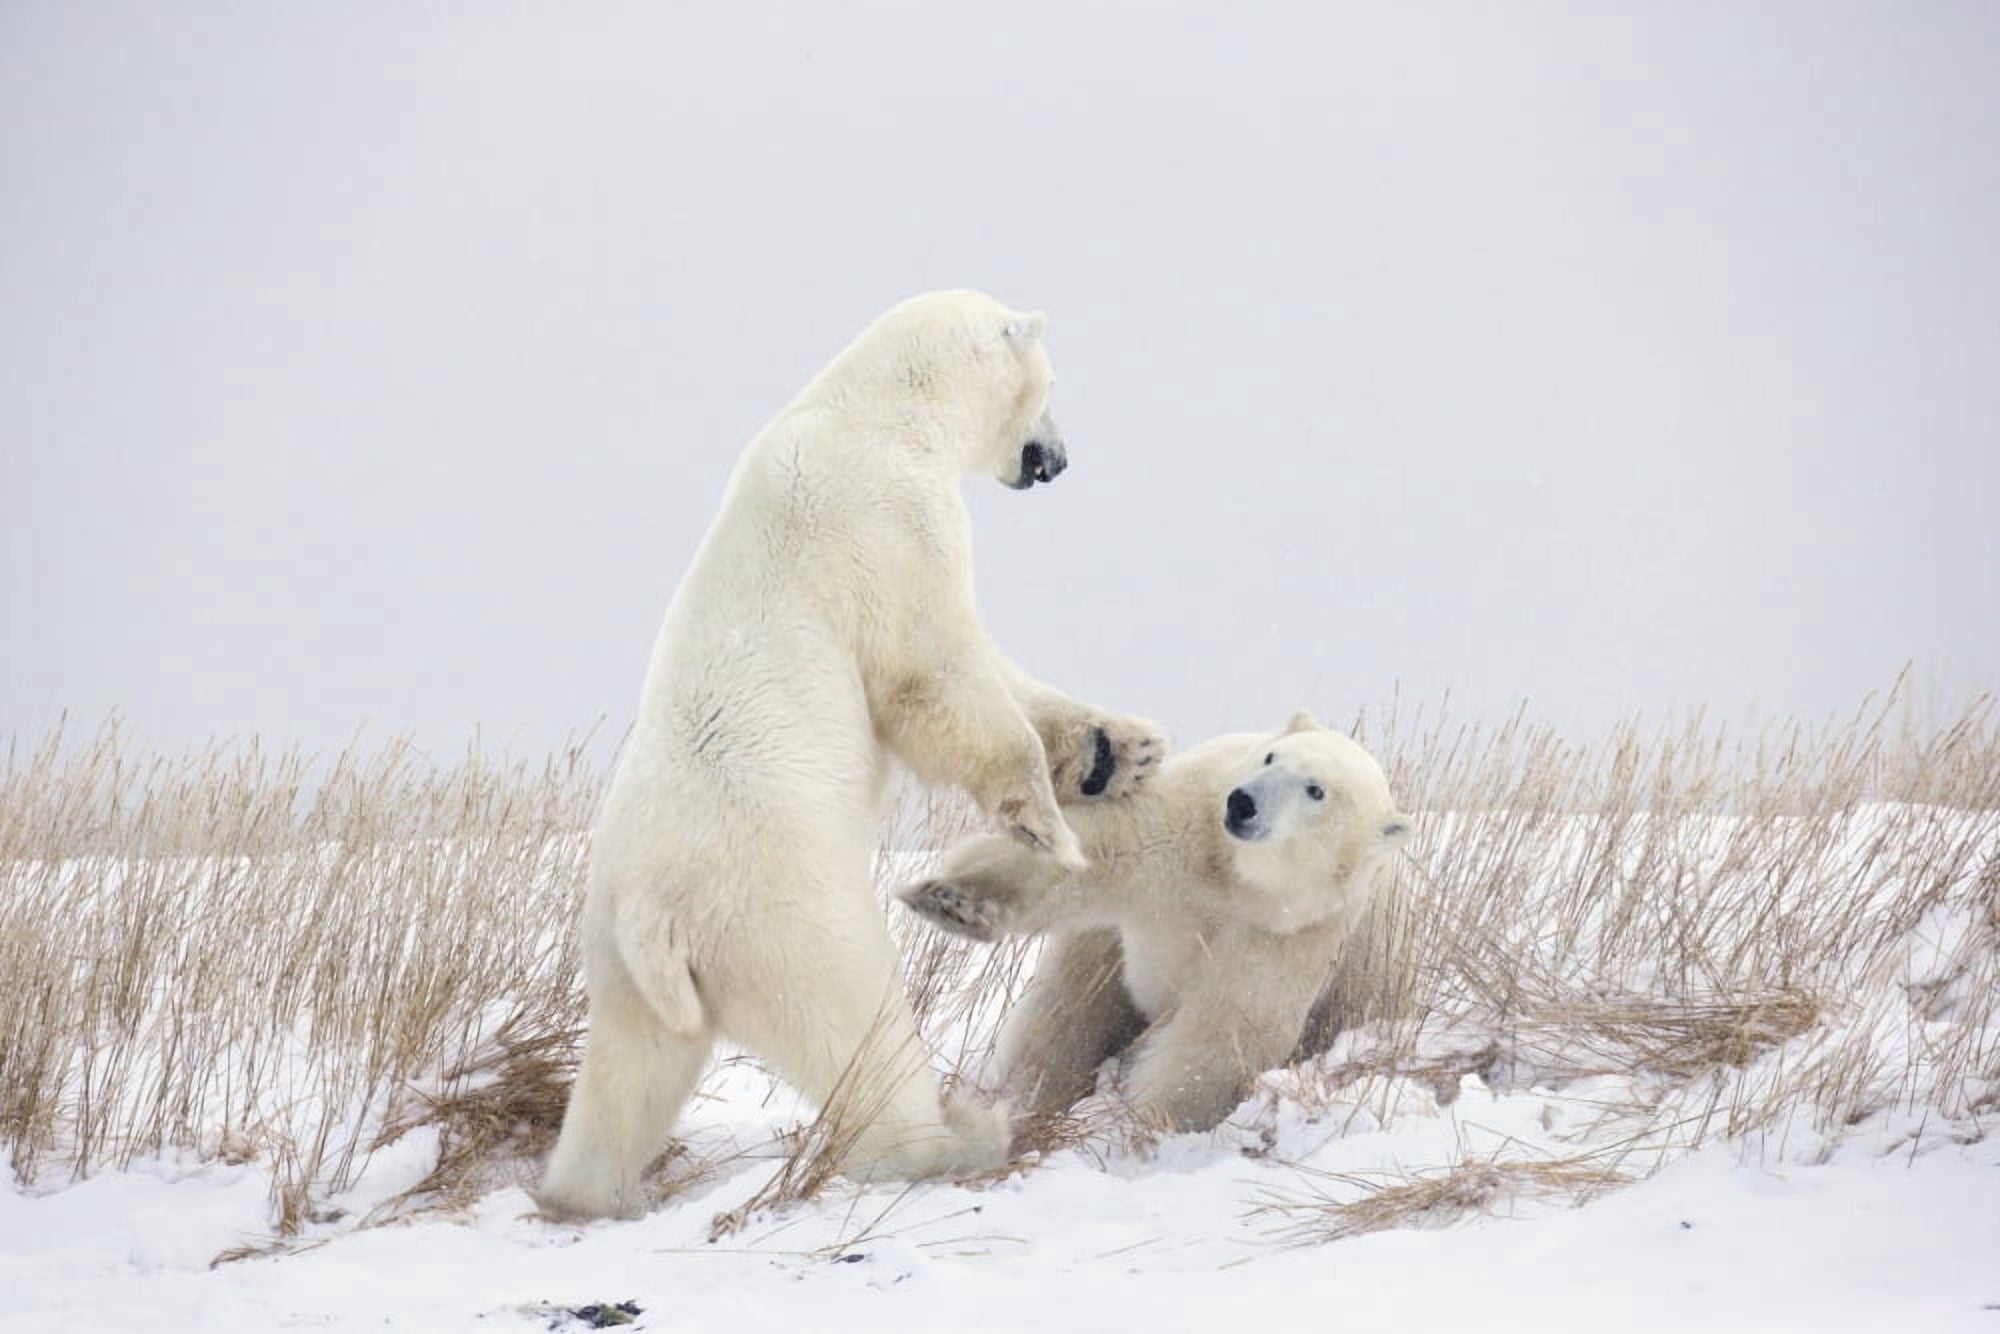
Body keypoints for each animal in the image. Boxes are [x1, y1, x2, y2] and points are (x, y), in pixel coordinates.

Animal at [536, 291, 1164, 1220]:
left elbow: (993, 672)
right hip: (785, 915)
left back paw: (585, 1193)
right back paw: (958, 1133)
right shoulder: (888, 523)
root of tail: (659, 915)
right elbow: (931, 674)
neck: (873, 413)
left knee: (628, 1073)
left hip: (620, 960)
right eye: (1052, 385)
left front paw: (1117, 749)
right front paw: (1043, 824)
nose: (1056, 461)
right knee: (861, 1024)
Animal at [896, 710, 1409, 1134]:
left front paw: (1145, 1124)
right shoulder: (1188, 824)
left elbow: (1226, 1029)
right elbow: (1100, 848)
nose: (1243, 803)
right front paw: (955, 900)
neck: (1238, 878)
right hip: (1103, 951)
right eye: (1270, 757)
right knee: (1064, 1008)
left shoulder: (1294, 932)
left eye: (1316, 790)